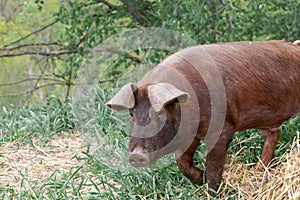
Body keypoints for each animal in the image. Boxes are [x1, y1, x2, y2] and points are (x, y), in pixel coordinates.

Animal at [106, 40, 300, 192]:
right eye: (131, 113)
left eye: (160, 113)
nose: (136, 155)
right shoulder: (190, 136)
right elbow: (182, 163)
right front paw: (201, 178)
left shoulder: (223, 128)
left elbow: (214, 167)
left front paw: (211, 189)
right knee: (273, 134)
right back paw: (259, 170)